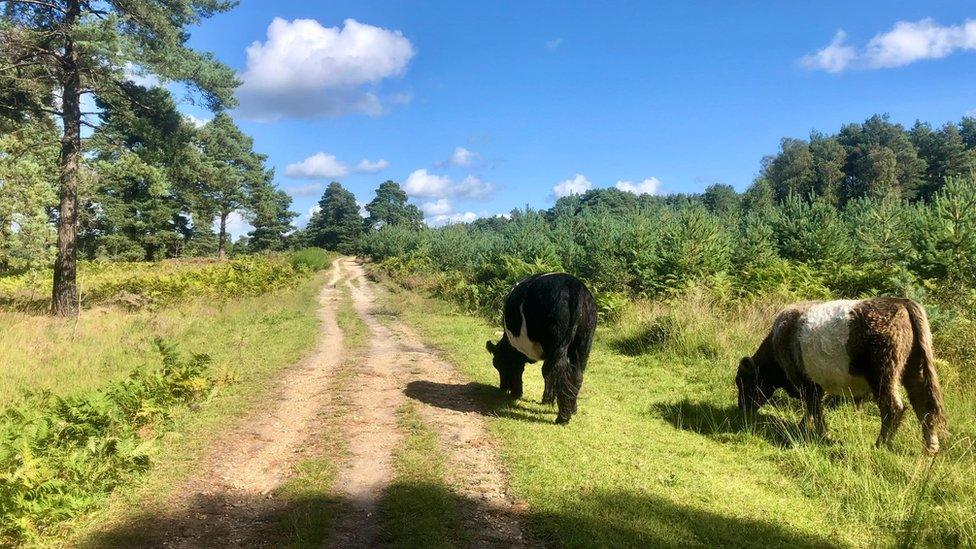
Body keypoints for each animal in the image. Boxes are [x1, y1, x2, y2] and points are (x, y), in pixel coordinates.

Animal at [486, 272, 600, 422]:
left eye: (498, 365)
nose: (502, 388)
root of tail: (573, 284)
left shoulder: (516, 354)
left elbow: (519, 370)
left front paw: (518, 393)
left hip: (557, 343)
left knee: (558, 372)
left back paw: (562, 418)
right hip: (584, 343)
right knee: (576, 375)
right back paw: (572, 409)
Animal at [740, 298, 944, 452]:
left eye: (743, 383)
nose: (743, 410)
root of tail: (901, 302)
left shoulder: (806, 384)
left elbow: (814, 408)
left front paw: (821, 433)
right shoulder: (815, 386)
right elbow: (813, 408)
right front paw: (804, 426)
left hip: (883, 375)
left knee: (892, 408)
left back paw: (879, 445)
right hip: (914, 371)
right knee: (924, 404)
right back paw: (930, 448)